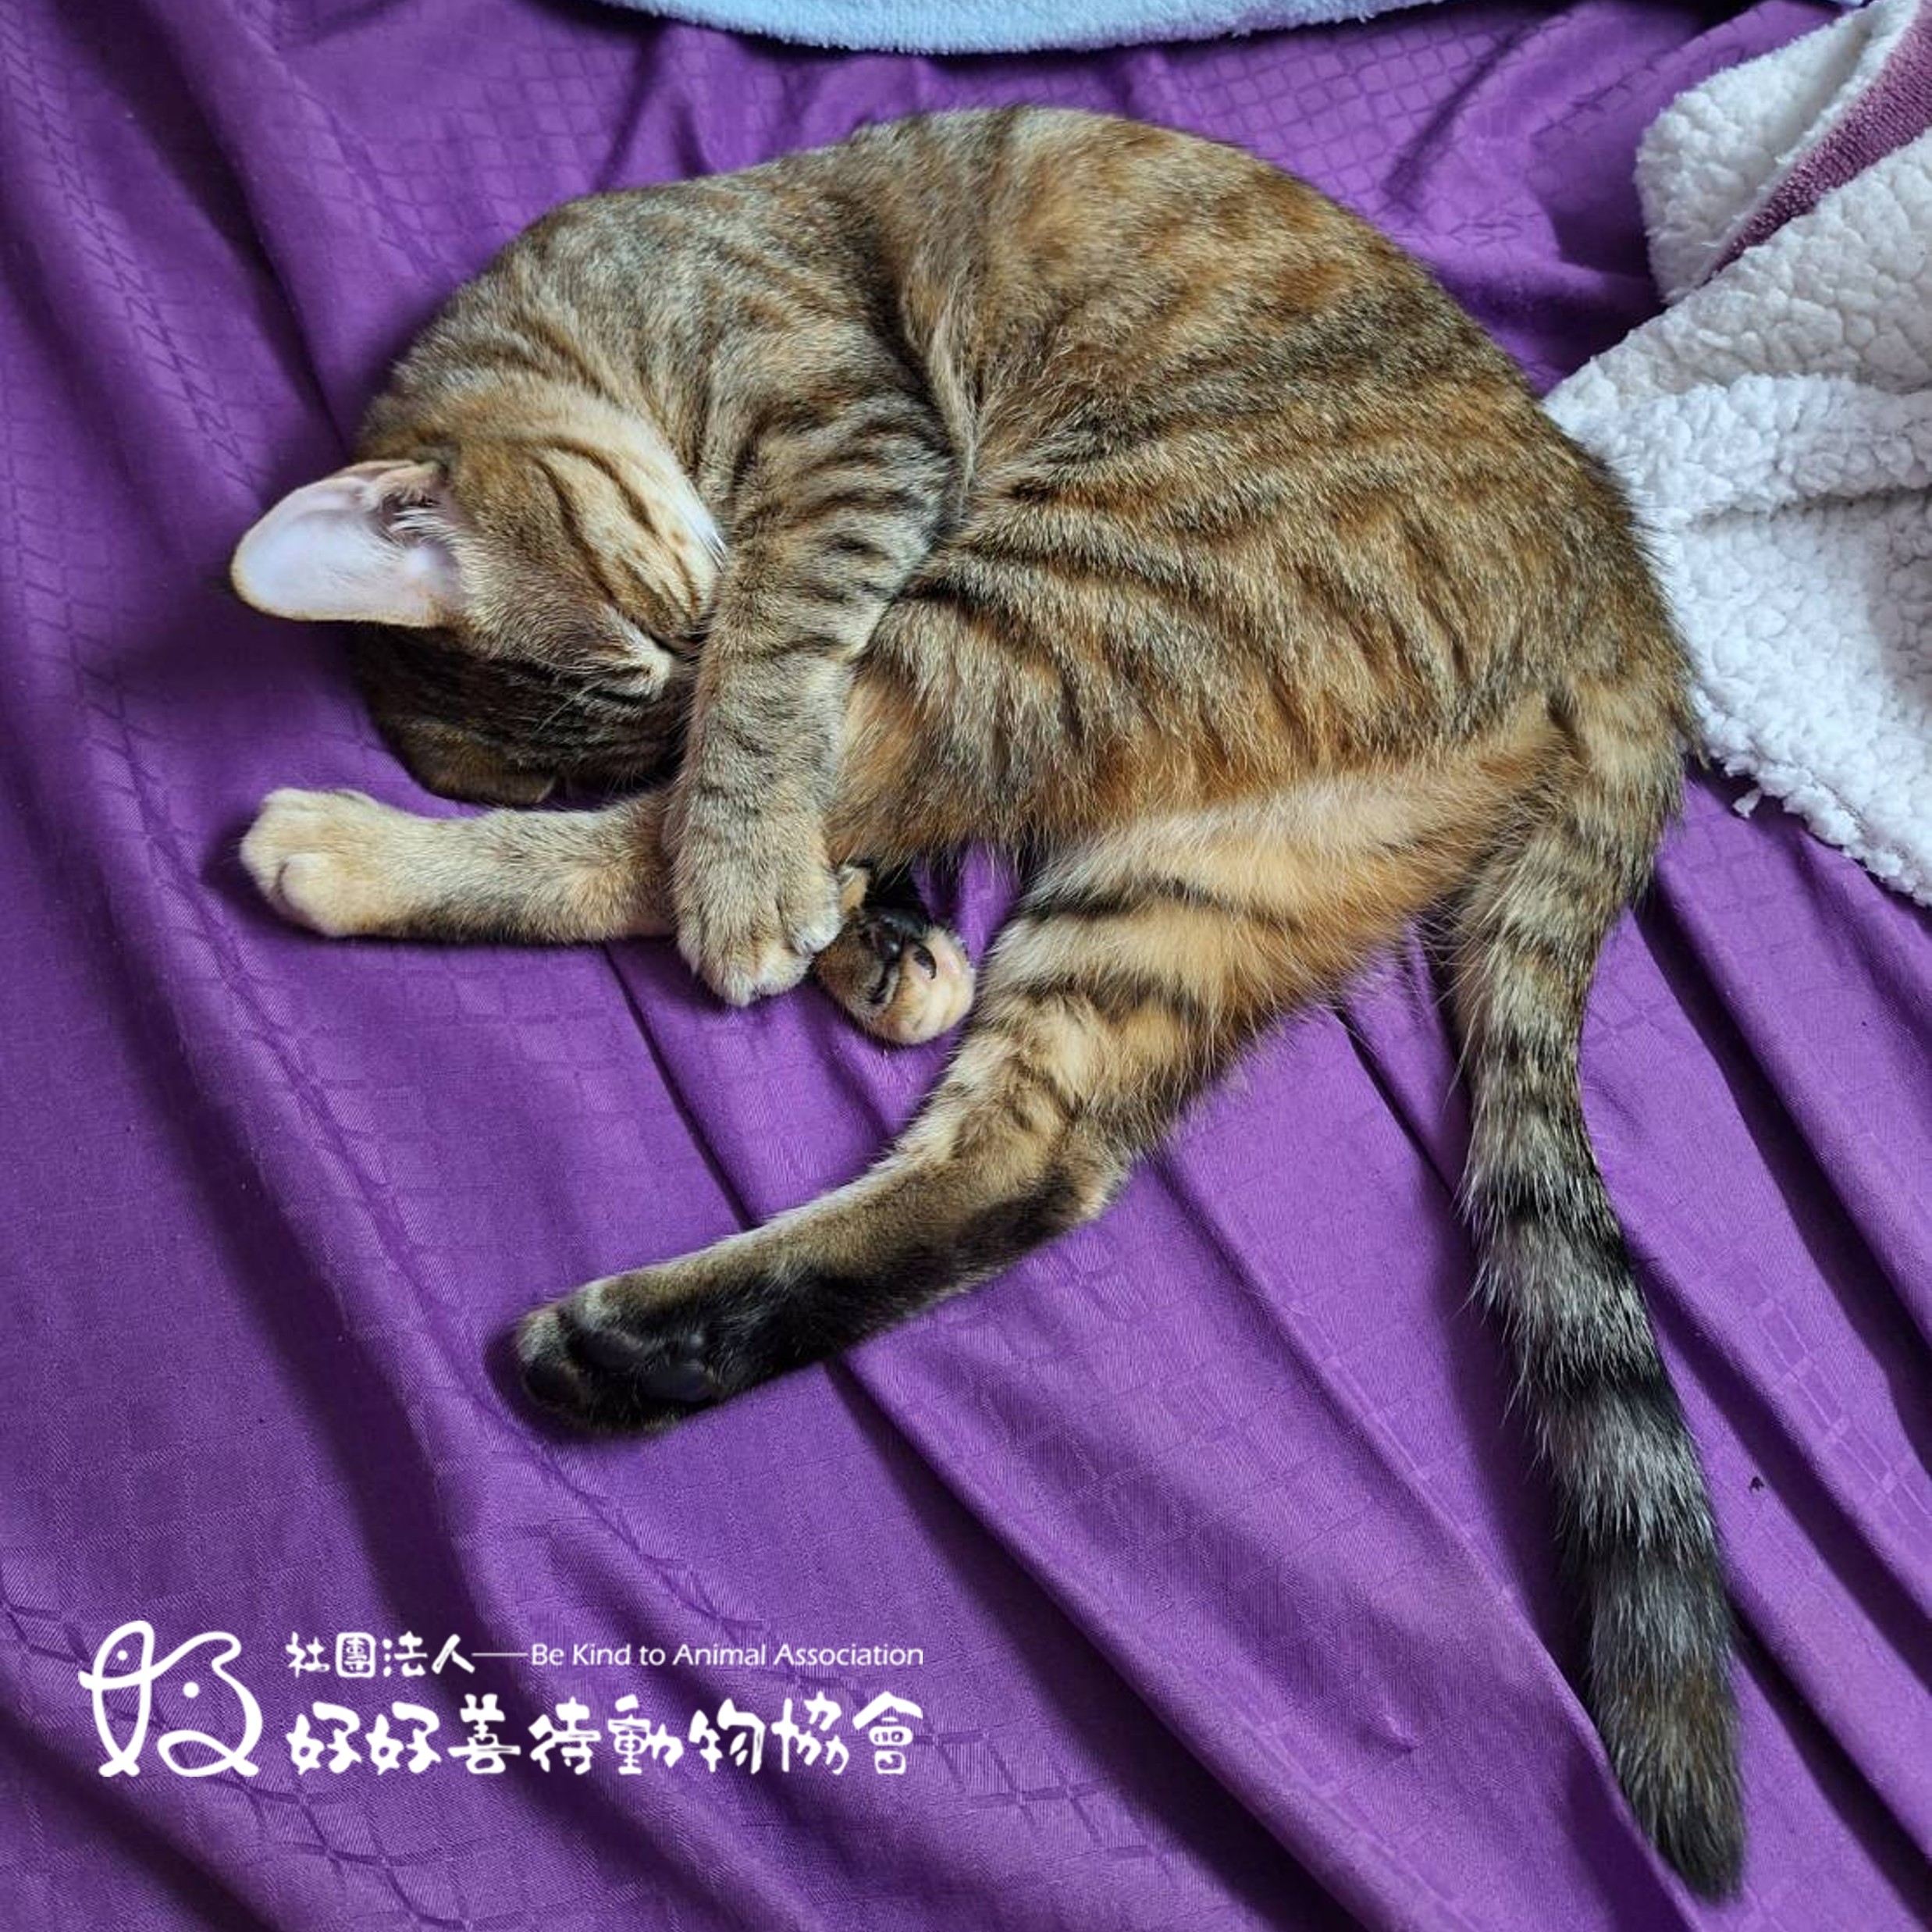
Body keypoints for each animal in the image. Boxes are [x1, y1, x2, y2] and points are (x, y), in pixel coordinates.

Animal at [229, 108, 1741, 1893]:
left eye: (660, 637)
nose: (678, 697)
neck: (602, 315)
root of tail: (1619, 574)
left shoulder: (843, 434)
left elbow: (762, 707)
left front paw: (768, 875)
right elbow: (765, 793)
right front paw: (859, 928)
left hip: (1041, 602)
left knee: (701, 847)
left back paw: (372, 855)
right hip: (1187, 867)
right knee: (1018, 1159)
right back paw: (634, 1343)